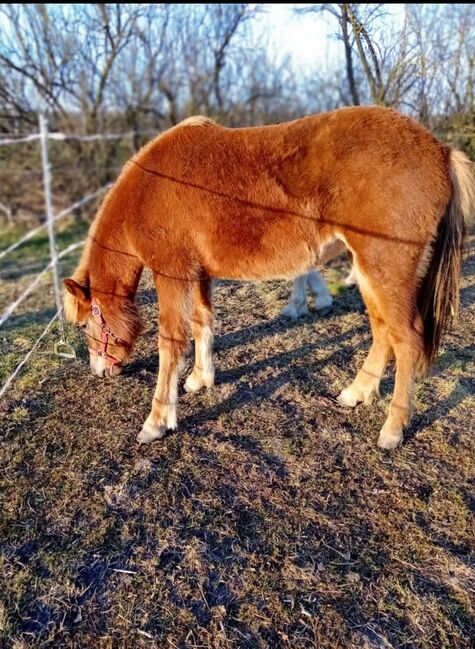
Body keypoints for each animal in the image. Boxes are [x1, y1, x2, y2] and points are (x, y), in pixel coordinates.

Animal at [64, 107, 475, 450]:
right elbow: (202, 323)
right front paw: (200, 379)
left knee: (406, 340)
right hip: (369, 272)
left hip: (385, 271)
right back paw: (356, 392)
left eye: (85, 324)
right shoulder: (199, 274)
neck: (151, 186)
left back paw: (392, 429)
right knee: (382, 331)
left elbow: (171, 342)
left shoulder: (173, 274)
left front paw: (158, 420)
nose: (100, 371)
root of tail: (440, 151)